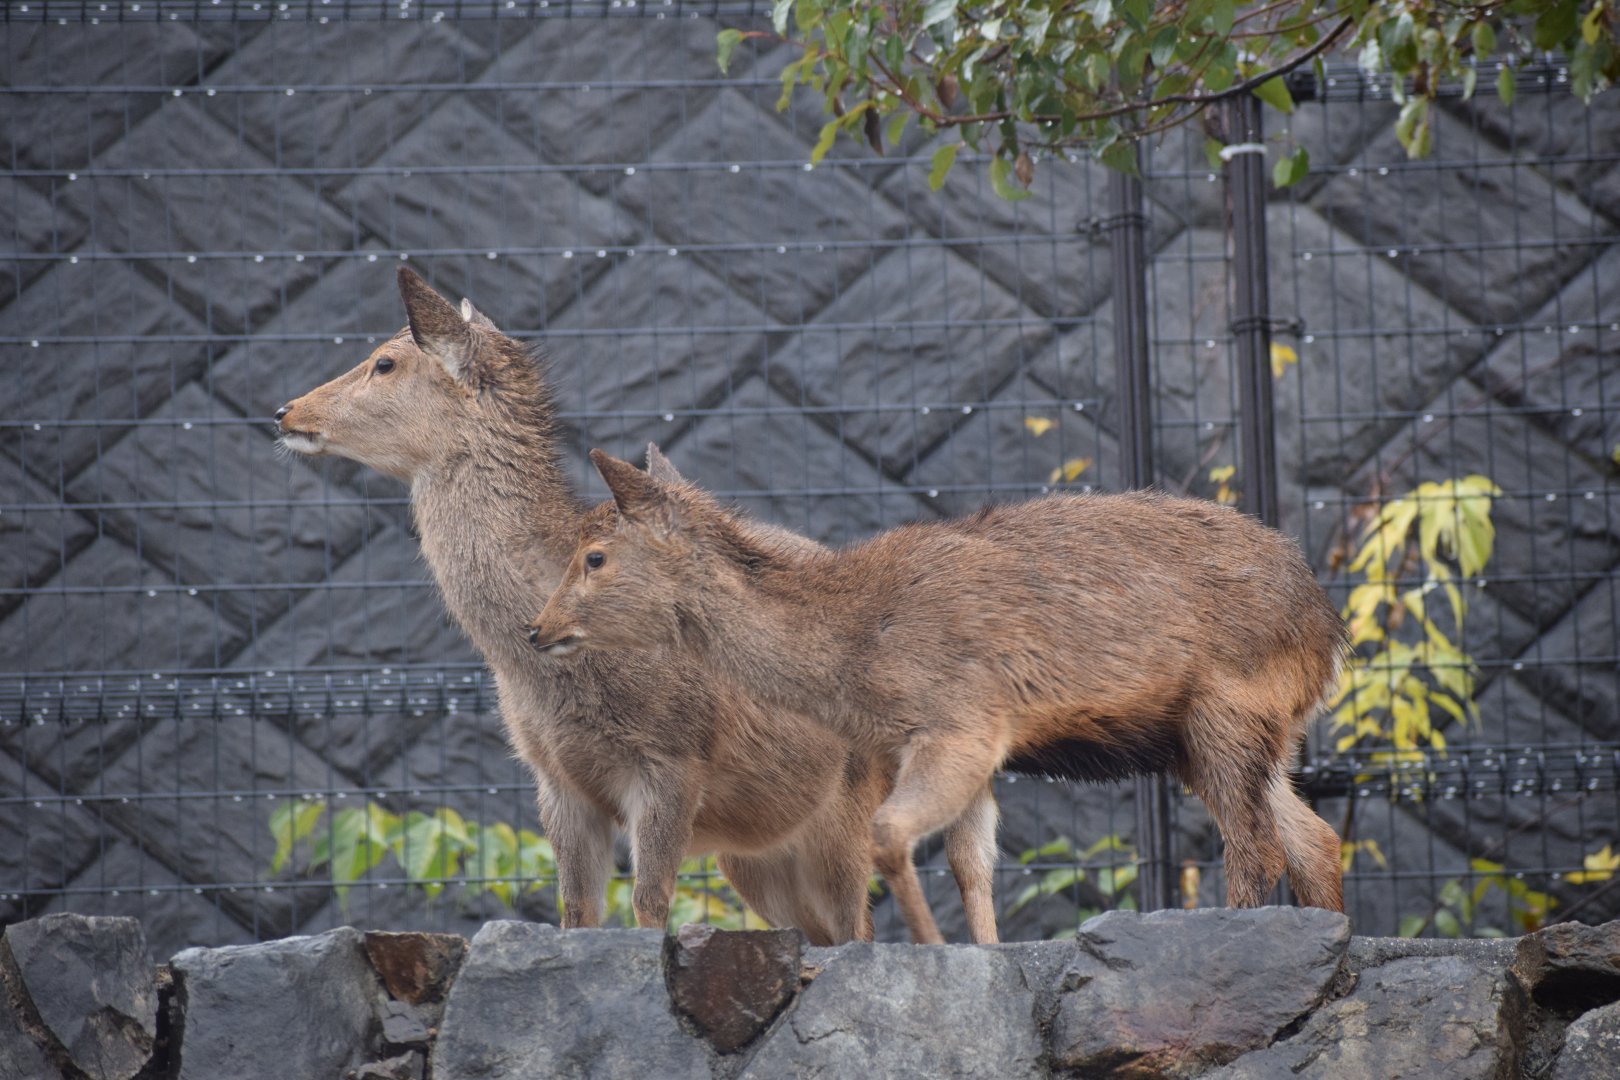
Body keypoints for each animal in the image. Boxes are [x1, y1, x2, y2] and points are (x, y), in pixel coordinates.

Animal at [274, 266, 979, 945]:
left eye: (385, 362)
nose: (284, 411)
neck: (548, 677)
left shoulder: (674, 758)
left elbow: (648, 902)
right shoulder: (552, 776)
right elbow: (576, 911)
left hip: (850, 803)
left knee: (862, 928)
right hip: (756, 854)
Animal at [527, 449, 1349, 944]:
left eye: (593, 557)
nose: (536, 628)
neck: (856, 658)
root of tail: (1327, 627)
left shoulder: (959, 722)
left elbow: (891, 836)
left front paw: (930, 947)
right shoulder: (975, 746)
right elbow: (971, 862)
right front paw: (981, 952)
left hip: (1228, 707)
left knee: (1256, 845)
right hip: (1218, 734)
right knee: (1313, 837)